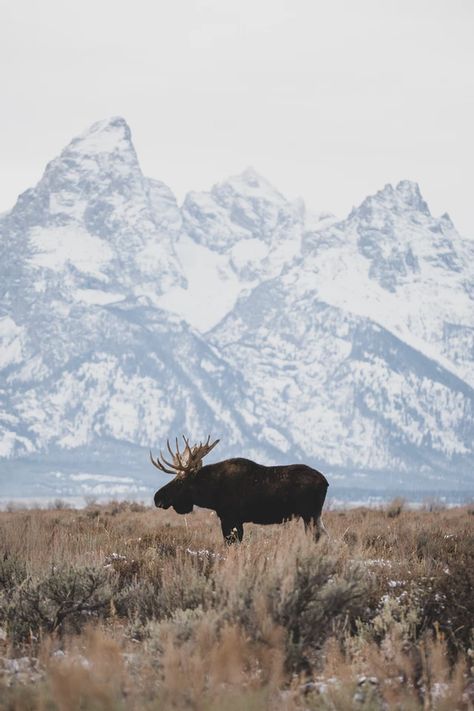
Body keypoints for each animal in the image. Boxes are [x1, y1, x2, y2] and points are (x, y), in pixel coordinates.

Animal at [150, 434, 328, 544]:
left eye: (180, 481)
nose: (157, 498)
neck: (210, 492)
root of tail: (325, 482)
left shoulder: (230, 518)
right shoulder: (234, 520)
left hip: (310, 514)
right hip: (313, 516)